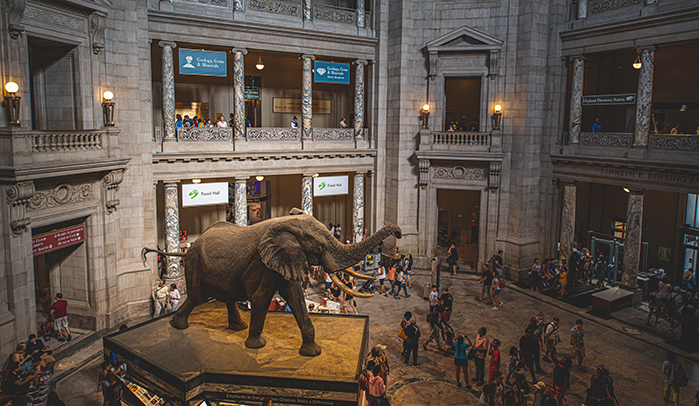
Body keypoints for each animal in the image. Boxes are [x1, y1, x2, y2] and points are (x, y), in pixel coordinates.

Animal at [142, 208, 402, 356]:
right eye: (318, 248)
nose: (399, 233)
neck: (286, 225)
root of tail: (189, 247)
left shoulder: (285, 262)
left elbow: (296, 299)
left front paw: (312, 352)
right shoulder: (262, 263)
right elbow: (260, 298)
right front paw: (256, 346)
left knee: (227, 298)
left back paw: (237, 327)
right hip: (196, 266)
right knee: (197, 296)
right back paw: (179, 325)